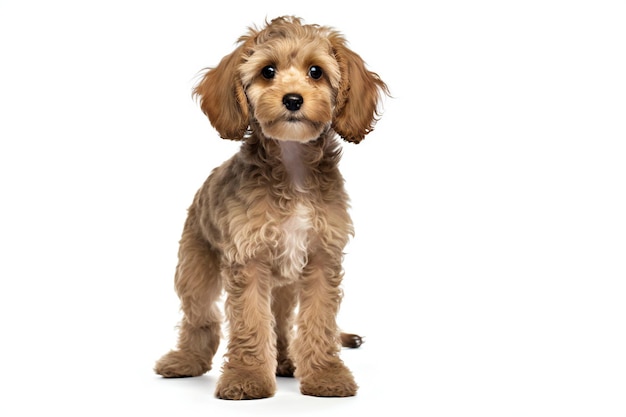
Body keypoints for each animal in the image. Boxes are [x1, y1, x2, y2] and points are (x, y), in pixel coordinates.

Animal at [154, 17, 386, 400]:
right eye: (268, 71)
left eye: (315, 72)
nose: (292, 99)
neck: (292, 168)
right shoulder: (247, 261)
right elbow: (250, 322)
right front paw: (247, 377)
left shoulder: (322, 258)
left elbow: (318, 321)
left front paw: (326, 376)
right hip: (195, 269)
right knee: (201, 319)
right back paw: (186, 360)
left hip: (284, 288)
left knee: (281, 325)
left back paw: (286, 361)